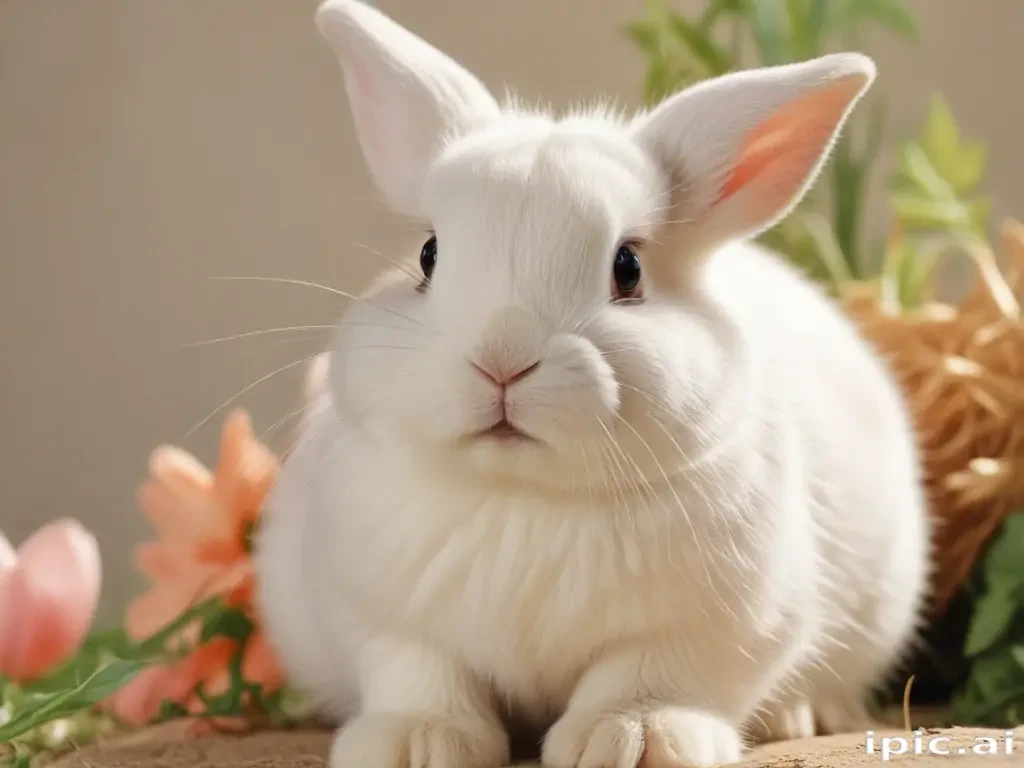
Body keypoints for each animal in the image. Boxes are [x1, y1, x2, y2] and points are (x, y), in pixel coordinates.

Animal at [253, 1, 932, 767]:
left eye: (627, 267)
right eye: (428, 255)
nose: (502, 358)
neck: (524, 500)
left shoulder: (711, 628)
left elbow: (646, 678)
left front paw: (632, 739)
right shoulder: (382, 617)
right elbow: (422, 675)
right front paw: (415, 743)